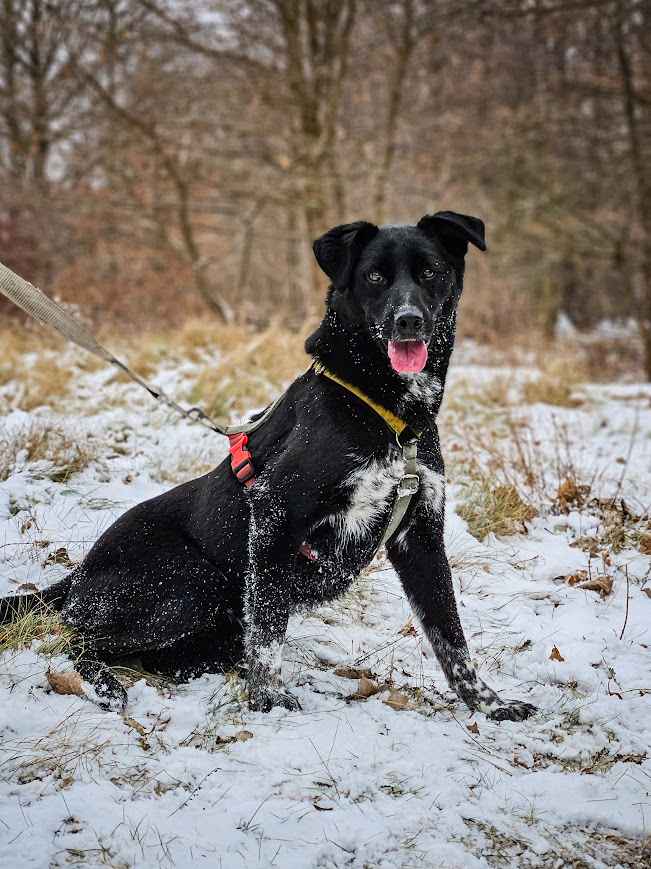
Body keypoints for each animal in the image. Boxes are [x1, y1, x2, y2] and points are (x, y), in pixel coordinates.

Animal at [0, 210, 536, 720]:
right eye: (375, 276)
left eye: (429, 272)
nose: (408, 321)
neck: (387, 413)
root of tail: (78, 575)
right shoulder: (276, 512)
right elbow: (268, 626)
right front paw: (268, 701)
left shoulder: (420, 535)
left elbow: (451, 638)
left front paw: (489, 705)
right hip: (191, 580)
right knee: (76, 637)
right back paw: (105, 682)